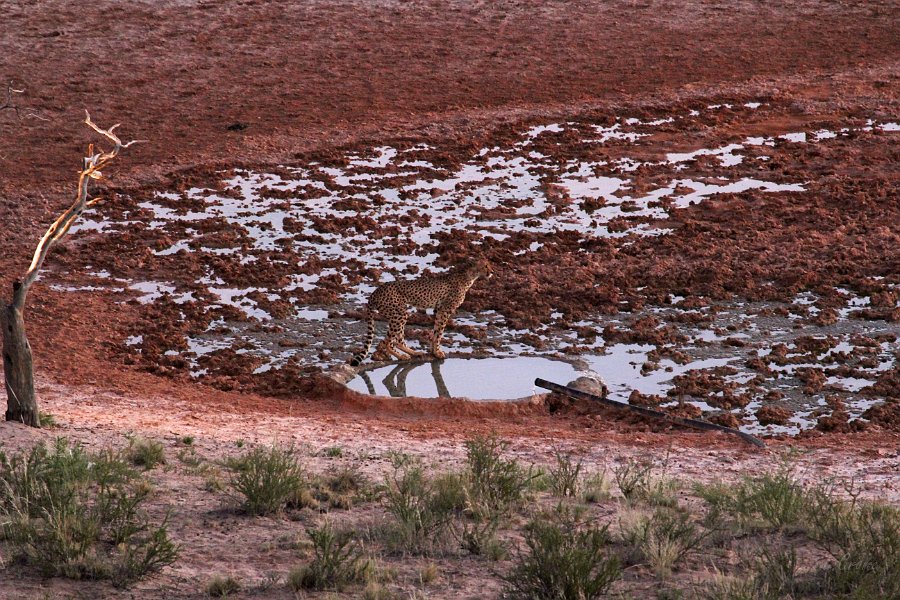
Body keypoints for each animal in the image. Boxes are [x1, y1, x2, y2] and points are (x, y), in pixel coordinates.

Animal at [350, 258, 492, 366]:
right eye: (485, 265)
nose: (491, 272)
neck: (469, 275)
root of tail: (375, 291)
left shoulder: (439, 310)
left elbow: (436, 331)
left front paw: (434, 351)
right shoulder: (445, 309)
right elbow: (439, 333)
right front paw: (438, 352)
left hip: (397, 314)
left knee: (397, 340)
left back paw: (413, 353)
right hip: (400, 314)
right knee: (386, 342)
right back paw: (401, 356)